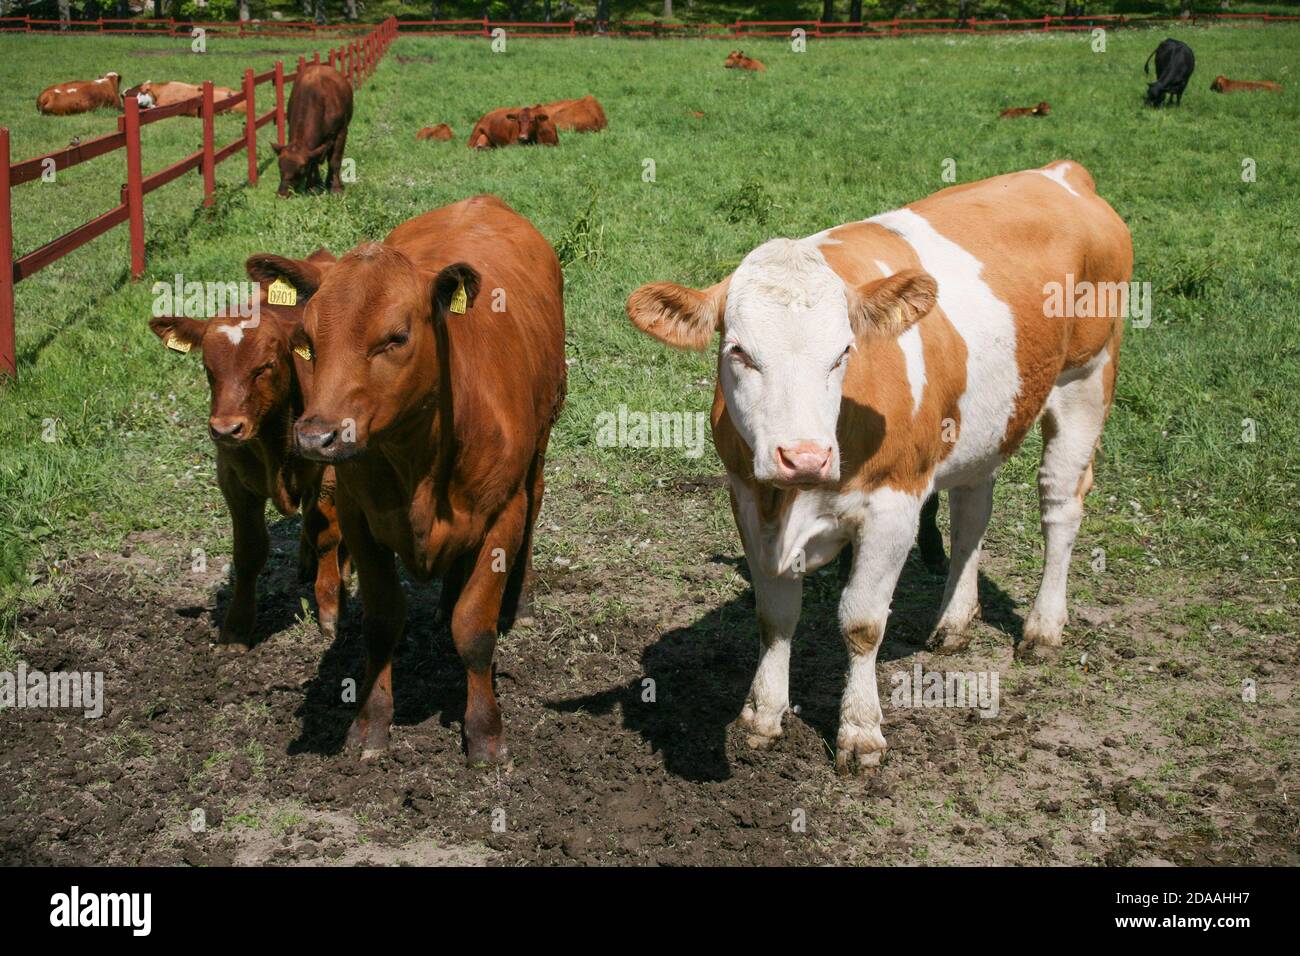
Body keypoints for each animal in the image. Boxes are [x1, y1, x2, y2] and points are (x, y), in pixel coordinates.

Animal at [147, 249, 349, 651]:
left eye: (264, 367)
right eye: (208, 369)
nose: (226, 428)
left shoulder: (329, 473)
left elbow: (327, 535)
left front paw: (330, 609)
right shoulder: (233, 481)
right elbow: (248, 550)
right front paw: (237, 627)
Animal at [272, 65, 353, 197]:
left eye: (301, 168)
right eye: (279, 166)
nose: (282, 194)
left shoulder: (341, 132)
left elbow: (334, 161)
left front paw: (336, 188)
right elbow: (313, 162)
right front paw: (313, 187)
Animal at [282, 195, 566, 765]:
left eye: (396, 337)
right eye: (308, 342)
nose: (317, 437)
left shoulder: (502, 512)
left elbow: (474, 628)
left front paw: (485, 732)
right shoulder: (360, 519)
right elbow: (381, 622)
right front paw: (371, 722)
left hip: (540, 446)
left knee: (536, 501)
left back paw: (520, 601)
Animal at [626, 161, 1131, 771]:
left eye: (844, 351)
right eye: (739, 351)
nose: (804, 457)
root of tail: (1061, 173)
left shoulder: (895, 502)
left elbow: (863, 623)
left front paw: (861, 731)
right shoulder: (747, 496)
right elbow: (775, 614)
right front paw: (764, 714)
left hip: (1086, 376)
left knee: (1060, 503)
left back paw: (1043, 628)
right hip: (980, 425)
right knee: (972, 515)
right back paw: (954, 622)